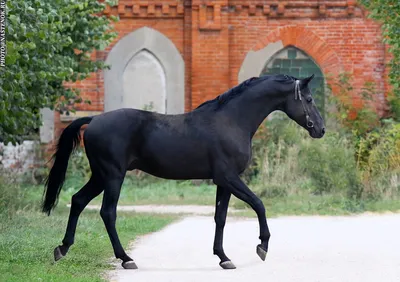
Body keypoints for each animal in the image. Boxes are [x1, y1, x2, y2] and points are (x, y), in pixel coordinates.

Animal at [43, 74, 324, 270]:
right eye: (309, 99)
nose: (320, 129)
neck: (232, 121)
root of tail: (93, 120)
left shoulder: (223, 183)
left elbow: (220, 218)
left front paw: (223, 258)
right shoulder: (229, 178)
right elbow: (259, 204)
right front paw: (262, 246)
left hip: (101, 176)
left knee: (78, 200)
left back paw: (62, 248)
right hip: (113, 176)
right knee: (107, 212)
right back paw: (125, 258)